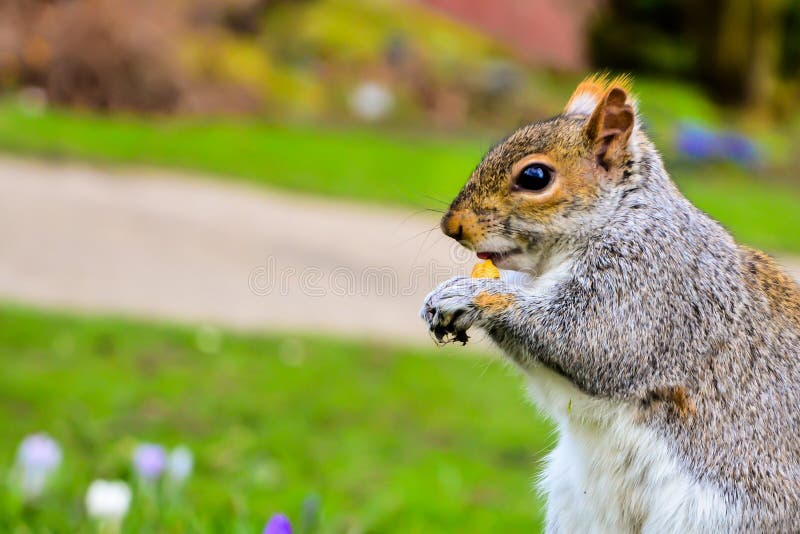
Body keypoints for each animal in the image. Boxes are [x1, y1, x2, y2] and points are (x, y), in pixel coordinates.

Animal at [421, 74, 800, 532]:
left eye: (534, 176)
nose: (451, 226)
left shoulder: (650, 284)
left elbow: (593, 342)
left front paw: (470, 295)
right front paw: (441, 295)